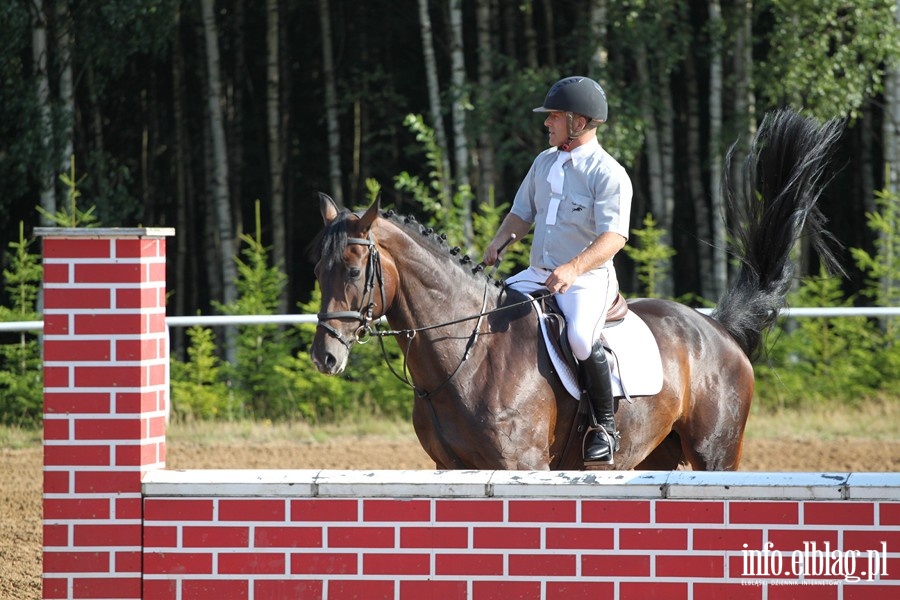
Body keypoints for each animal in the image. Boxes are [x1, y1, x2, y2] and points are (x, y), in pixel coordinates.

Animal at [310, 110, 844, 472]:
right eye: (317, 270)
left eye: (353, 271)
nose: (325, 357)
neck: (468, 355)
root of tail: (716, 327)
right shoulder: (450, 468)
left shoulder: (521, 465)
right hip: (655, 454)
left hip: (716, 454)